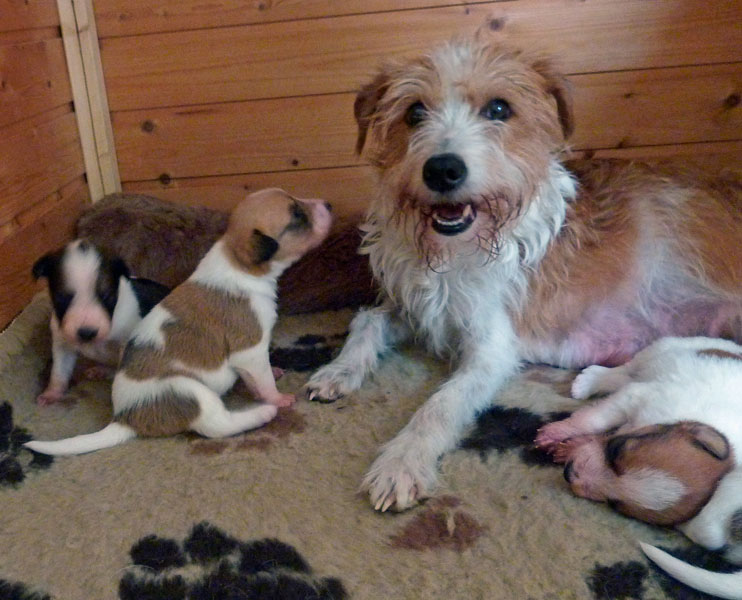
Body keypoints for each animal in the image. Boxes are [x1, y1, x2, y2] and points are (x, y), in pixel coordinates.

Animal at [32, 239, 170, 405]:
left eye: (107, 296)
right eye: (62, 298)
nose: (87, 333)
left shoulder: (126, 344)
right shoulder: (62, 343)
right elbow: (59, 372)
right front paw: (52, 393)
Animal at [305, 36, 742, 512]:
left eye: (499, 108)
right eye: (414, 112)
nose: (442, 169)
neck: (458, 249)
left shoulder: (492, 347)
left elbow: (441, 404)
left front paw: (402, 461)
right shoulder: (417, 305)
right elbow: (368, 320)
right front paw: (338, 370)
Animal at [536, 336, 742, 598]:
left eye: (615, 504)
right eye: (616, 452)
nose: (568, 471)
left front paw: (571, 446)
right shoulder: (635, 398)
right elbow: (592, 419)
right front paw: (556, 433)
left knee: (627, 377)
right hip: (668, 347)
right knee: (627, 370)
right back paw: (589, 380)